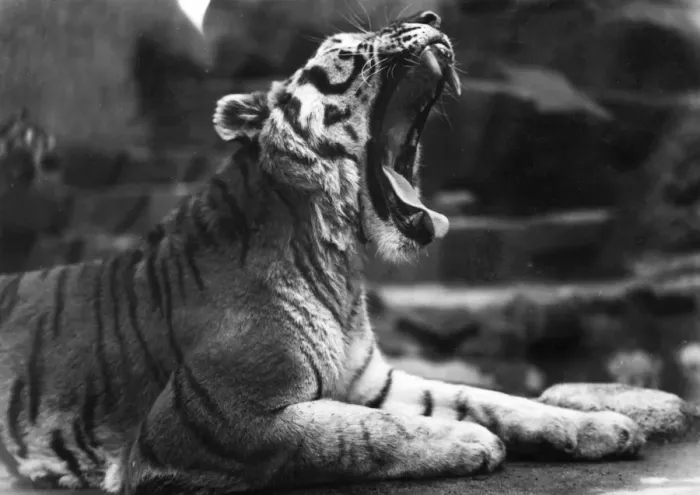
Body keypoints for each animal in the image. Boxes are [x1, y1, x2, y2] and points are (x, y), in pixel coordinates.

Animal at [0, 11, 645, 494]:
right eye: (347, 47)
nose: (432, 16)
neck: (337, 263)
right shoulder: (208, 420)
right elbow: (359, 432)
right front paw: (470, 440)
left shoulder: (371, 380)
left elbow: (482, 396)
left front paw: (605, 424)